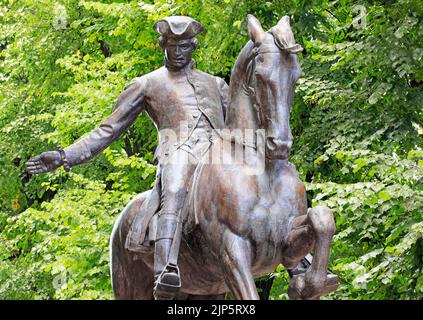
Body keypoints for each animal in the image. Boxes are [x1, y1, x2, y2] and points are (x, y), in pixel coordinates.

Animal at [111, 14, 340, 300]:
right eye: (261, 76)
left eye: (295, 76)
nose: (280, 144)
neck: (261, 172)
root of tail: (121, 221)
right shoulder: (232, 250)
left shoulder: (283, 239)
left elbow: (321, 217)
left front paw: (308, 283)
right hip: (132, 286)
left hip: (204, 290)